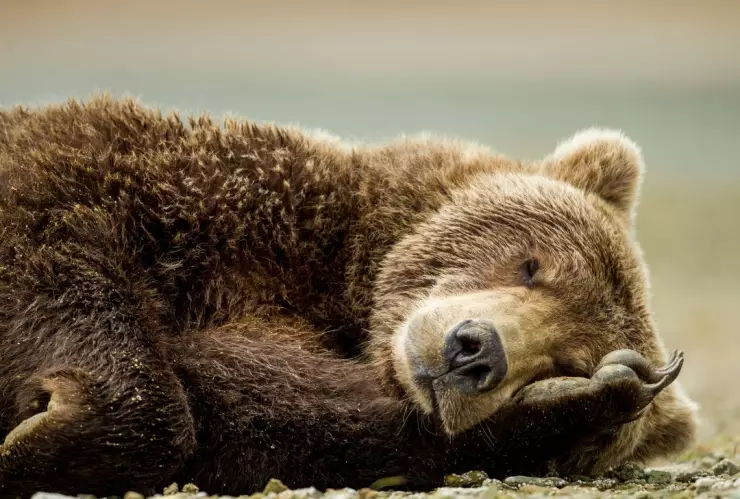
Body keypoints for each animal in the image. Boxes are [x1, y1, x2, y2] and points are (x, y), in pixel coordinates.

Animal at [0, 95, 698, 498]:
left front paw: (591, 396)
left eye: (568, 358)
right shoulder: (197, 191)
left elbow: (280, 421)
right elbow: (53, 232)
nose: (473, 351)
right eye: (532, 265)